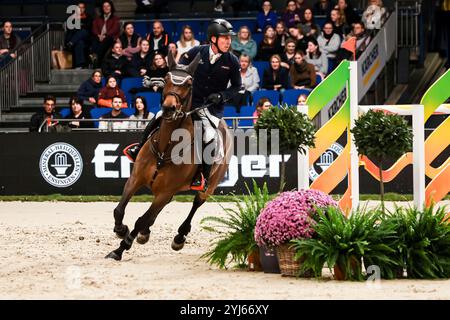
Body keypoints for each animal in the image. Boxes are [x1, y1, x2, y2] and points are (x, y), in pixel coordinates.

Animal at [105, 52, 232, 262]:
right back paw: (145, 234)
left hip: (209, 185)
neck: (165, 148)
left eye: (189, 83)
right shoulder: (136, 179)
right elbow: (119, 210)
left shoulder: (165, 192)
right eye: (166, 78)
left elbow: (141, 220)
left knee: (196, 204)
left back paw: (179, 237)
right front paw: (121, 230)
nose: (169, 108)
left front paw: (120, 249)